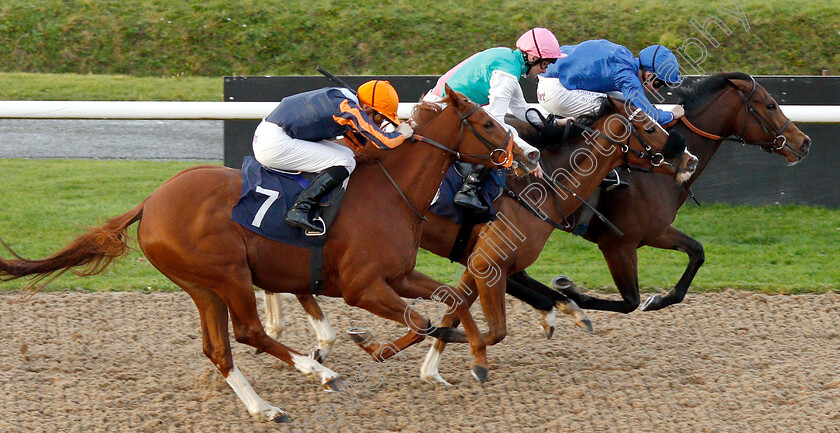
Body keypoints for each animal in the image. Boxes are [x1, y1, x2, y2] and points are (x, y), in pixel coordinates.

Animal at [0, 85, 536, 422]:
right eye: (486, 122)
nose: (527, 156)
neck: (392, 191)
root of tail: (151, 202)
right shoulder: (362, 287)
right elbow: (421, 319)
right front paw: (369, 345)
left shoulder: (400, 275)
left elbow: (452, 299)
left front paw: (476, 356)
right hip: (228, 274)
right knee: (248, 332)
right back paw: (320, 373)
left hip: (201, 286)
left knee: (218, 348)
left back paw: (265, 408)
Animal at [260, 97, 696, 382]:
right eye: (650, 127)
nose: (690, 160)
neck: (541, 190)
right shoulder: (490, 263)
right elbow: (488, 327)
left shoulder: (480, 262)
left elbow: (454, 312)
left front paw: (398, 353)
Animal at [508, 71, 812, 318]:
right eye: (770, 105)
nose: (804, 142)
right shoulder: (618, 245)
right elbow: (629, 301)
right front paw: (569, 289)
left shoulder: (655, 231)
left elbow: (697, 253)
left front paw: (657, 300)